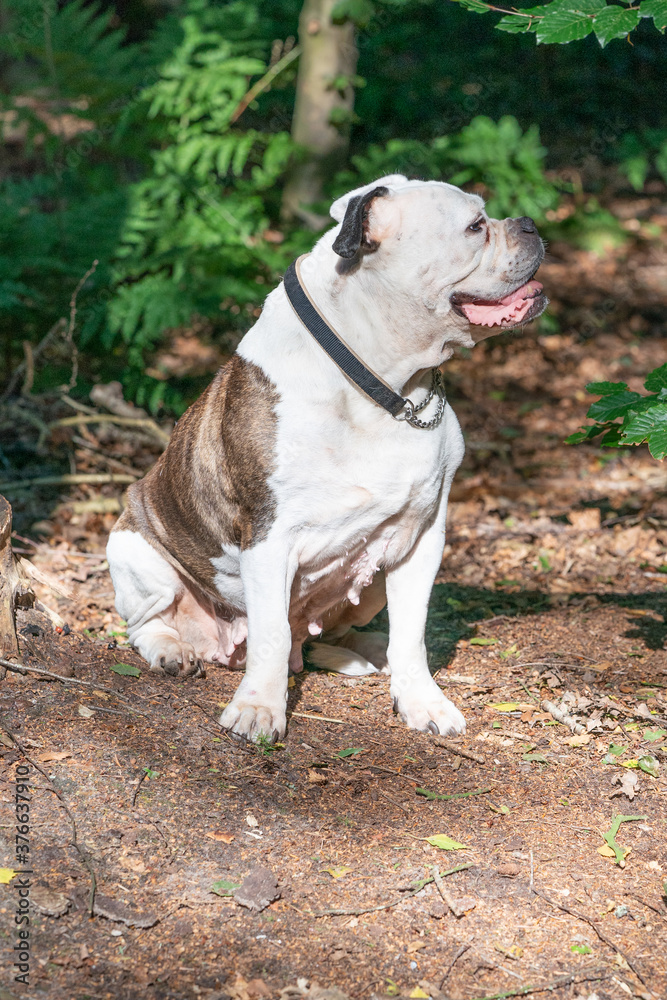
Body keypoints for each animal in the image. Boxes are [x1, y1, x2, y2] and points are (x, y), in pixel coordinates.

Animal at [107, 176, 548, 744]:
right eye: (475, 226)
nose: (530, 225)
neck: (385, 384)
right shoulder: (269, 540)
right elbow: (271, 632)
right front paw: (258, 708)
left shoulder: (421, 537)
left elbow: (412, 631)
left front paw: (421, 700)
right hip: (135, 551)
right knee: (147, 622)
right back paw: (171, 650)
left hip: (373, 584)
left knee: (334, 637)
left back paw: (366, 653)